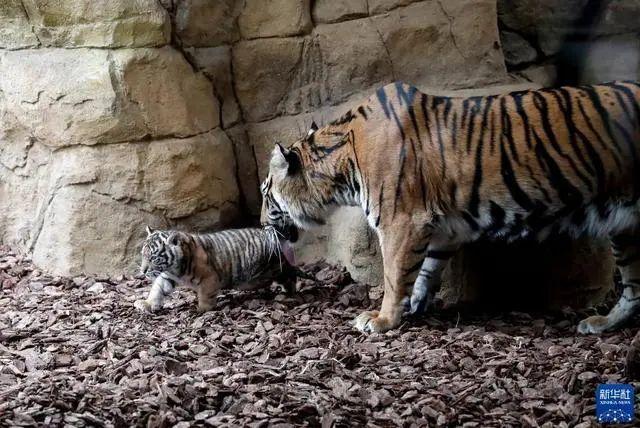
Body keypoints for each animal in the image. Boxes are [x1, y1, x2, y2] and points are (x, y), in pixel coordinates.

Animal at [260, 80, 640, 334]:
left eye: (265, 194)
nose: (261, 221)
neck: (341, 167)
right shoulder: (446, 228)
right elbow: (426, 270)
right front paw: (414, 306)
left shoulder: (401, 221)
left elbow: (394, 272)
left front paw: (382, 319)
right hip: (625, 226)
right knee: (634, 289)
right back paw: (603, 323)